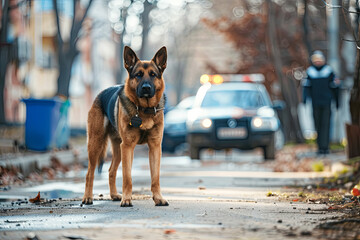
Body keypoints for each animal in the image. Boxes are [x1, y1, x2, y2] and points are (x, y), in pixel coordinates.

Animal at [83, 46, 169, 206]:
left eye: (153, 75)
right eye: (138, 75)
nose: (146, 88)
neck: (144, 110)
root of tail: (100, 93)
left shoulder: (155, 147)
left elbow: (155, 177)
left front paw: (158, 198)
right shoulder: (128, 147)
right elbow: (127, 177)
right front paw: (127, 199)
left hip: (118, 149)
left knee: (111, 171)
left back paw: (114, 195)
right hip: (96, 144)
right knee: (89, 173)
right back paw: (88, 197)